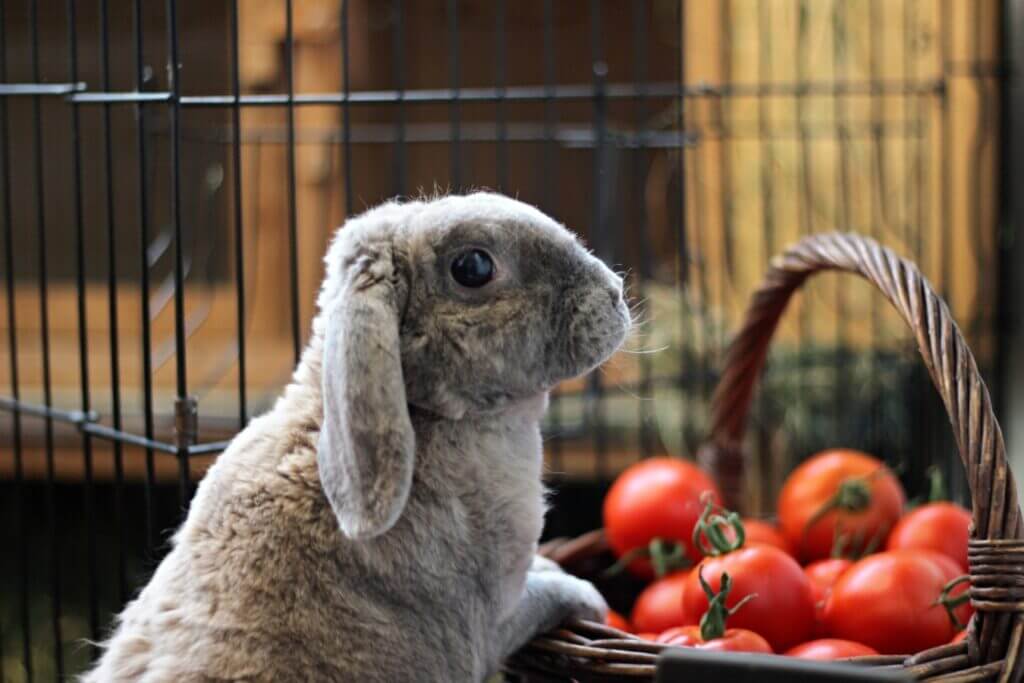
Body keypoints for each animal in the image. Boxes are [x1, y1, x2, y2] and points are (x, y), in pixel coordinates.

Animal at [83, 192, 626, 683]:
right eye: (473, 266)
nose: (615, 292)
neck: (430, 416)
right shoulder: (490, 621)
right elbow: (545, 599)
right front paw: (586, 595)